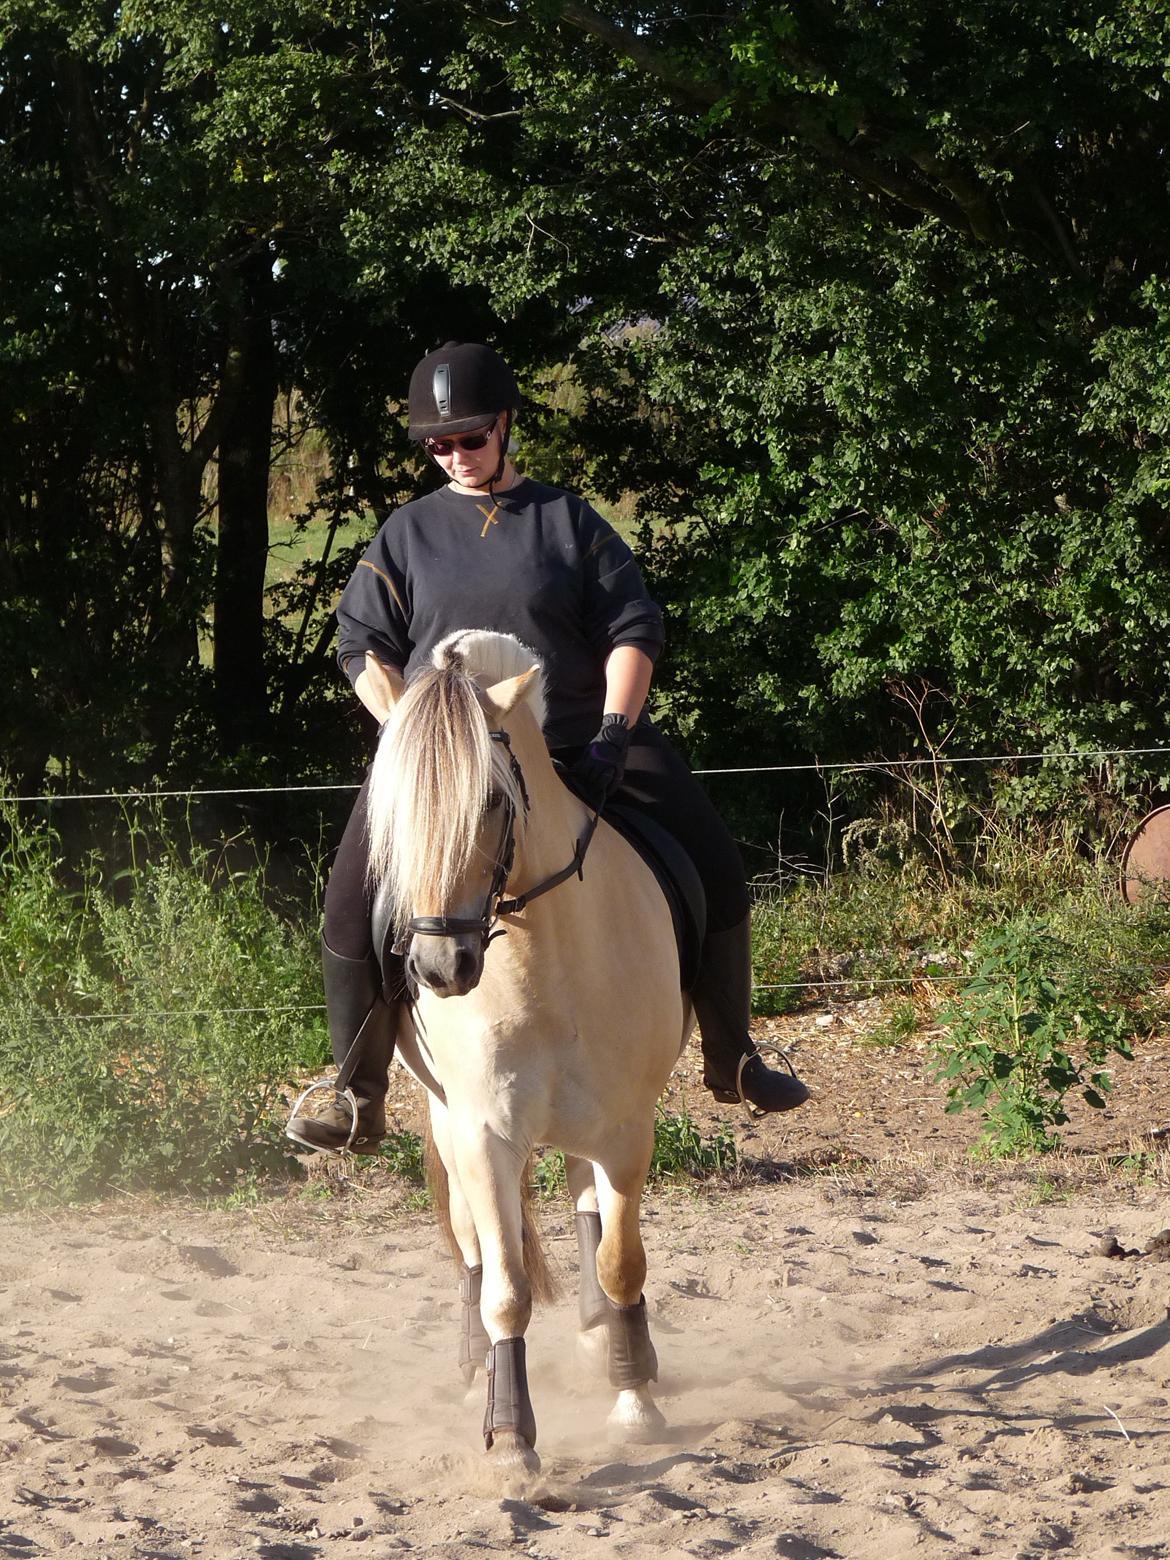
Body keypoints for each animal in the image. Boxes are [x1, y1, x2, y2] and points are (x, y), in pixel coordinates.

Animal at [366, 627, 692, 1466]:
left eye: (490, 800)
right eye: (392, 813)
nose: (440, 968)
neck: (539, 963)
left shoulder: (626, 1129)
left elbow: (620, 1260)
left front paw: (633, 1397)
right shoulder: (482, 1134)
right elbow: (504, 1289)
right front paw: (510, 1438)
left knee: (587, 1206)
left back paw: (602, 1339)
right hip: (448, 1122)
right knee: (475, 1247)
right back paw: (473, 1369)